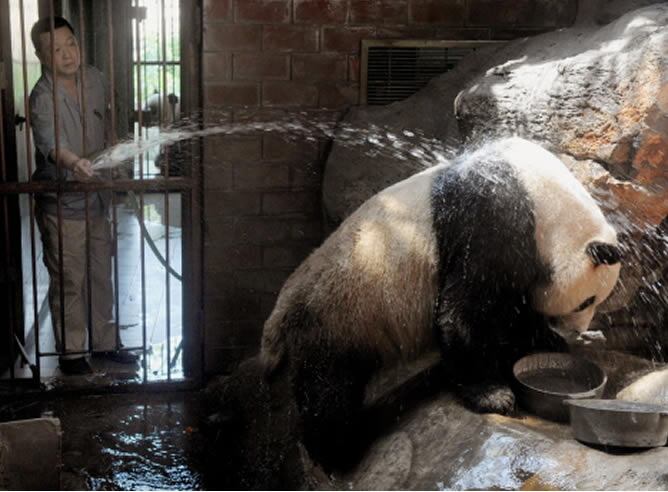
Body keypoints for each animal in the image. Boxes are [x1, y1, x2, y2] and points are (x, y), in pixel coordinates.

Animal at [260, 137, 620, 466]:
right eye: (586, 301)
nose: (576, 329)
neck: (544, 197)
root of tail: (284, 305)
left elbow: (510, 311)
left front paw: (545, 340)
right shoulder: (492, 218)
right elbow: (466, 310)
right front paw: (492, 395)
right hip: (338, 314)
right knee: (328, 387)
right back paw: (341, 447)